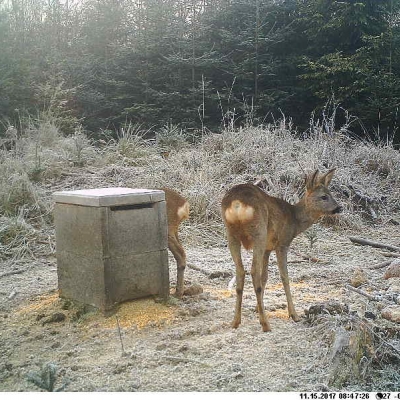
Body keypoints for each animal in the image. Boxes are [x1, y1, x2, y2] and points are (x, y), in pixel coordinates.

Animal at [220, 169, 342, 332]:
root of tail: (237, 203)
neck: (294, 220)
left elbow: (265, 277)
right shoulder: (282, 243)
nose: (339, 208)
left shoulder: (267, 248)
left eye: (330, 193)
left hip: (231, 234)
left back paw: (235, 321)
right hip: (259, 232)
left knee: (241, 271)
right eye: (324, 196)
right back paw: (265, 324)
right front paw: (294, 314)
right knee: (253, 271)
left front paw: (258, 308)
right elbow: (285, 276)